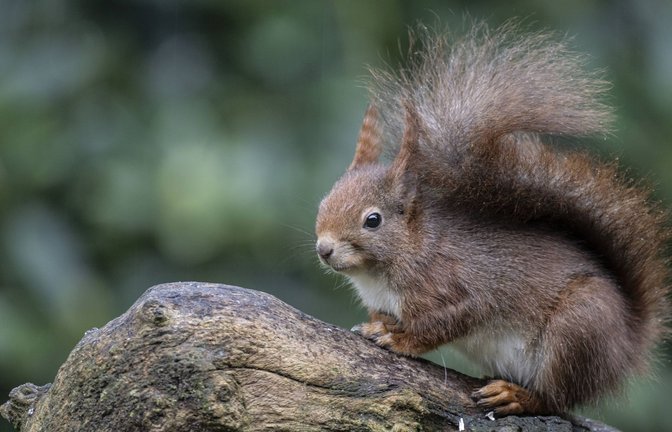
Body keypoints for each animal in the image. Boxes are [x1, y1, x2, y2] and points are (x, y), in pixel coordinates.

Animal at [314, 22, 670, 416]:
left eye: (373, 220)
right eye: (323, 202)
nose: (324, 249)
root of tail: (627, 345)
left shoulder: (454, 286)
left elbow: (447, 322)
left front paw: (398, 338)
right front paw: (380, 325)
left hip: (577, 330)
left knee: (555, 398)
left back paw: (515, 396)